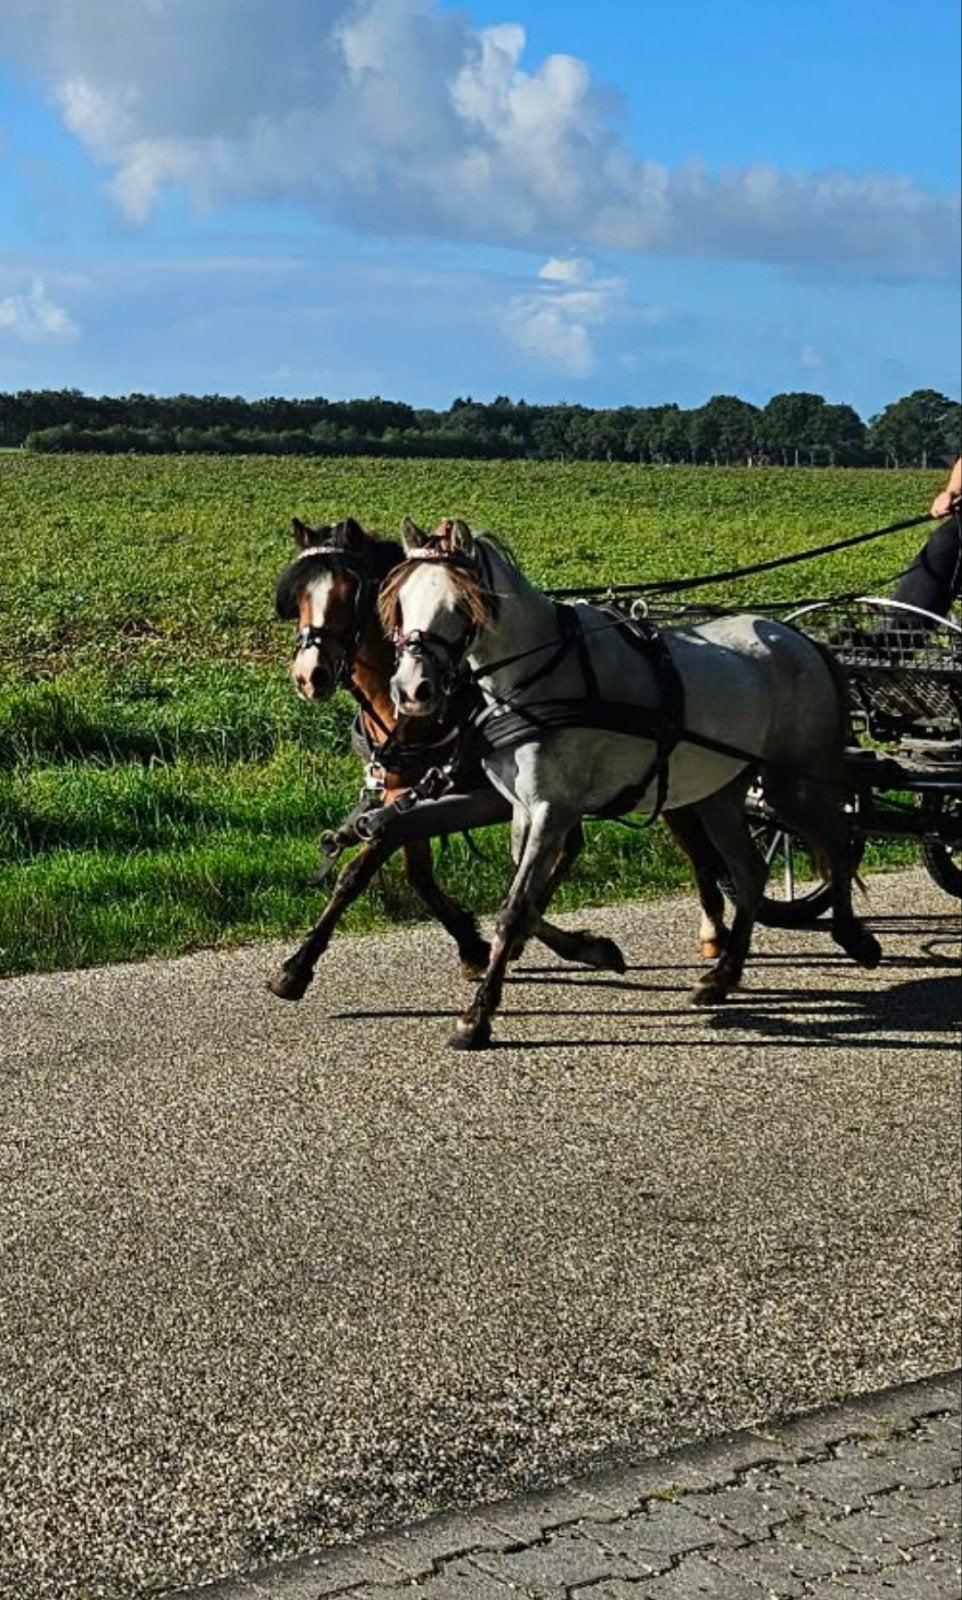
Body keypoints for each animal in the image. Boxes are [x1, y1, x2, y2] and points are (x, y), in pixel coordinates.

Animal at [267, 516, 629, 1002]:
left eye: (349, 593)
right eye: (300, 597)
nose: (310, 676)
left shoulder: (492, 795)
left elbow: (361, 867)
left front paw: (298, 965)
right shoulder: (403, 792)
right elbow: (412, 873)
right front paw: (472, 946)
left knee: (564, 850)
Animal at [381, 518, 882, 1051]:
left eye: (460, 604)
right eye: (402, 601)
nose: (411, 691)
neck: (538, 678)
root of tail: (798, 637)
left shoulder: (553, 808)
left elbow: (515, 908)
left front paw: (476, 1017)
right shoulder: (525, 809)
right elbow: (527, 901)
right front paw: (596, 950)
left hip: (792, 781)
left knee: (835, 842)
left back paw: (854, 937)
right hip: (721, 793)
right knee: (750, 872)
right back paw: (722, 976)